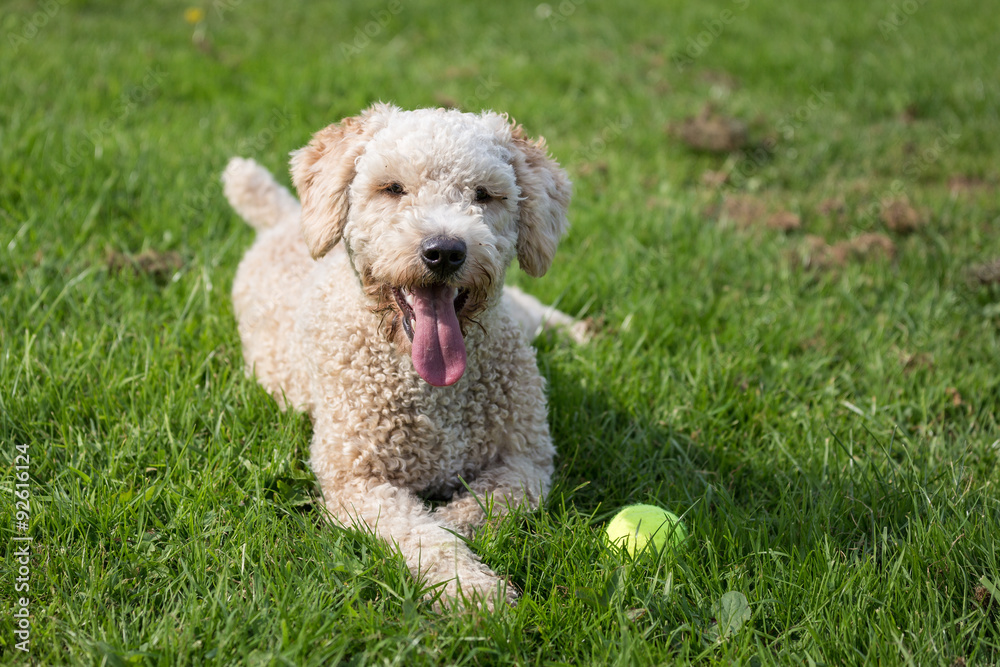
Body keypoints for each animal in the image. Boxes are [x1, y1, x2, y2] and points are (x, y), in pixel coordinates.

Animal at [222, 104, 584, 612]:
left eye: (483, 194)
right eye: (393, 188)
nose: (444, 251)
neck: (431, 389)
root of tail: (286, 217)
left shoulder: (527, 462)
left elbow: (477, 508)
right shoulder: (358, 481)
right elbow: (424, 534)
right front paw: (473, 591)